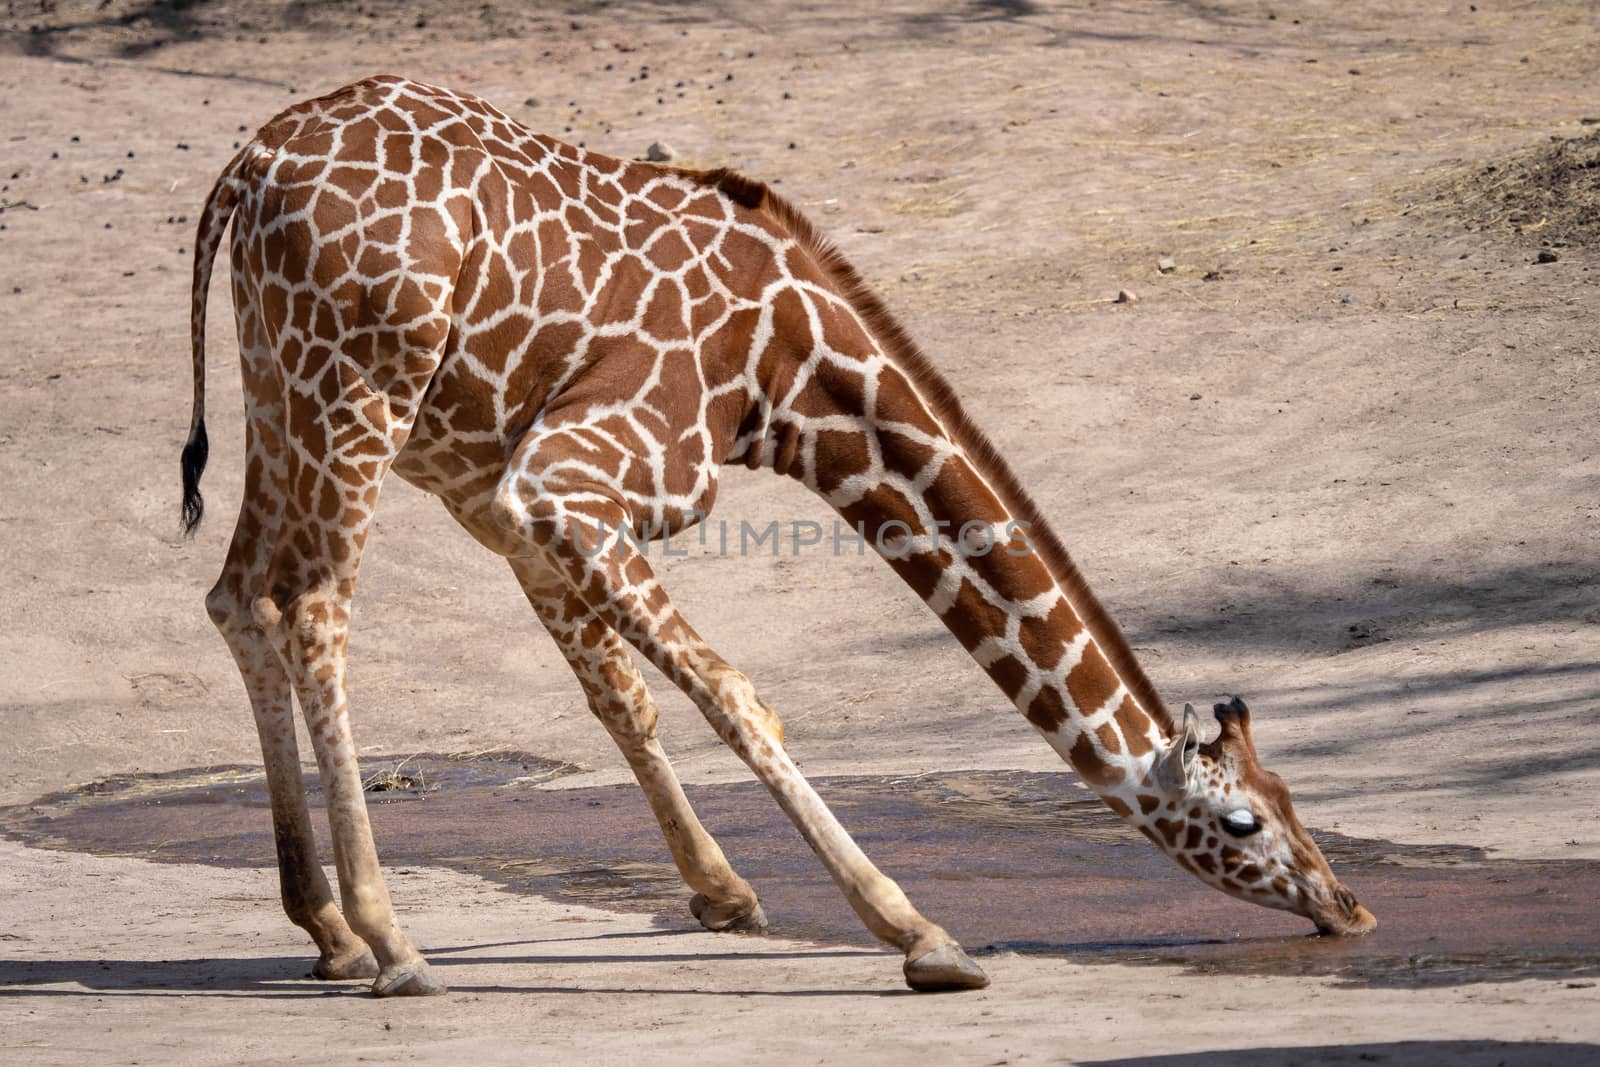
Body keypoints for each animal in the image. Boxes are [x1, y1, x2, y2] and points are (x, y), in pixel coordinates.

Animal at [178, 77, 1376, 1004]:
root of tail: (248, 166)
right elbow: (732, 691)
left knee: (241, 596)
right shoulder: (571, 476)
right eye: (1241, 823)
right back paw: (392, 939)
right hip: (358, 393)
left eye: (1289, 797)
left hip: (280, 386)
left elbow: (623, 693)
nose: (1348, 904)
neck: (792, 374)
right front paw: (918, 933)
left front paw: (723, 893)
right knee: (316, 609)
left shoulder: (495, 493)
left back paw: (327, 927)